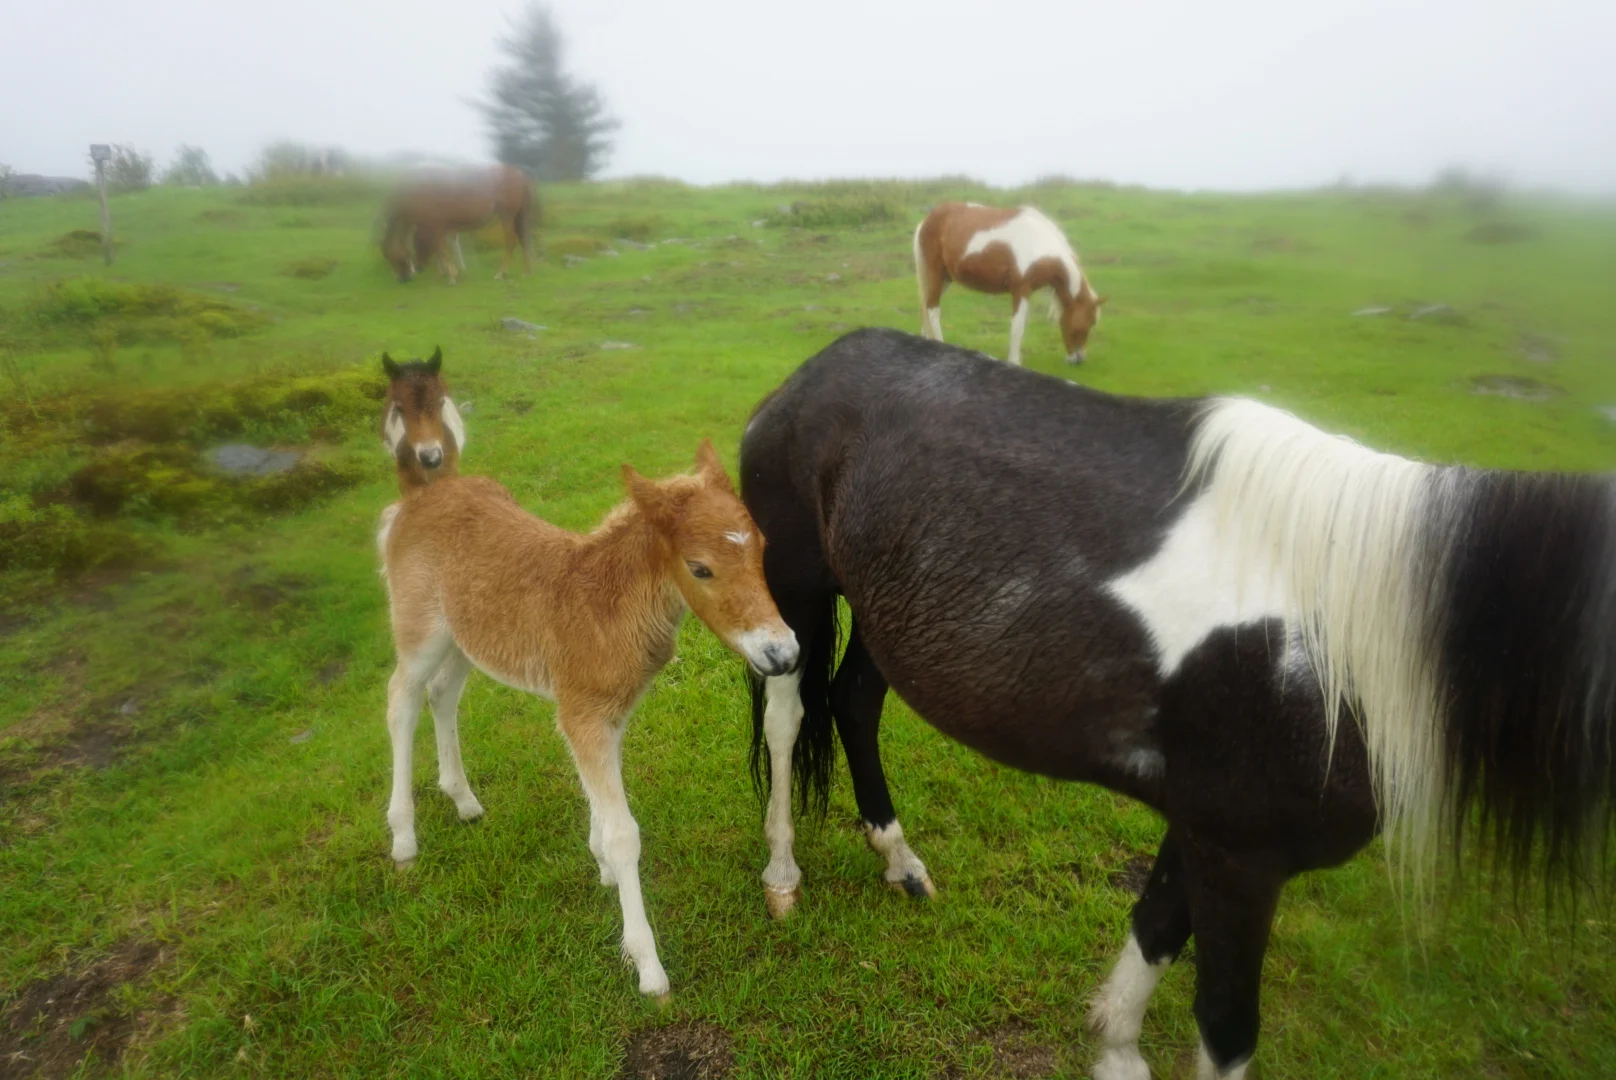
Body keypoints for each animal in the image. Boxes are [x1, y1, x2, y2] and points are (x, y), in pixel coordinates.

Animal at [376, 443, 799, 998]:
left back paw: (463, 800)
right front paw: (647, 966)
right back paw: (404, 837)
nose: (783, 653)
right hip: (419, 629)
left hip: (463, 635)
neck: (606, 607)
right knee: (401, 700)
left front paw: (599, 863)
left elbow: (602, 804)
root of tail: (412, 502)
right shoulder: (582, 715)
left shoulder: (608, 715)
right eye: (701, 568)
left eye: (764, 547)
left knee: (443, 694)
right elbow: (625, 834)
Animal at [381, 164, 535, 284]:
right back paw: (527, 272)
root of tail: (518, 174)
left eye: (391, 256)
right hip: (517, 218)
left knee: (511, 242)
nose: (402, 279)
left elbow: (442, 249)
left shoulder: (437, 227)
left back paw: (501, 273)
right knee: (524, 240)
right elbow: (443, 248)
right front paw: (448, 272)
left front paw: (451, 276)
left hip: (506, 217)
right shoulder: (442, 228)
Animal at [739, 328, 1615, 1080]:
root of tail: (810, 374)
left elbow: (1156, 927)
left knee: (854, 705)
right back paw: (781, 875)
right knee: (788, 720)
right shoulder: (1242, 855)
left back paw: (899, 860)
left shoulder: (1206, 827)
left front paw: (1115, 1046)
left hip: (884, 612)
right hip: (798, 597)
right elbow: (1225, 1022)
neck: (1366, 632)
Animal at [914, 202, 1106, 365]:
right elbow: (1017, 327)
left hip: (944, 279)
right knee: (932, 308)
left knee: (926, 304)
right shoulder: (1021, 290)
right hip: (936, 274)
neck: (1039, 243)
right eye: (1088, 322)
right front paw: (1014, 361)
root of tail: (926, 220)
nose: (1078, 359)